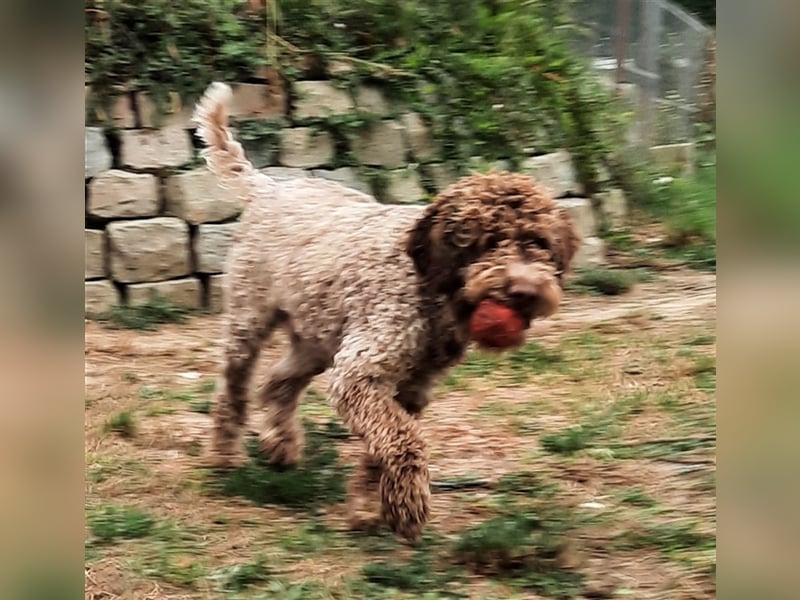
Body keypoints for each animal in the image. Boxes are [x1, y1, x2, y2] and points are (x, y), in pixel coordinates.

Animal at [196, 81, 580, 544]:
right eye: (484, 242)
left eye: (538, 242)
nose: (523, 291)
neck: (431, 291)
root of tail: (270, 188)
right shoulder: (360, 375)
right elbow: (403, 442)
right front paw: (409, 508)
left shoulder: (411, 390)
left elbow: (382, 449)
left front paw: (370, 508)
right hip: (249, 322)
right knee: (233, 388)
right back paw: (223, 455)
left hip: (317, 339)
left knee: (278, 382)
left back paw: (281, 444)